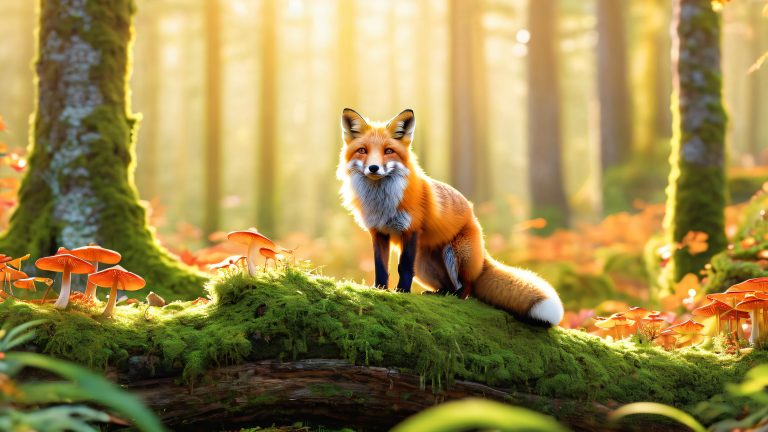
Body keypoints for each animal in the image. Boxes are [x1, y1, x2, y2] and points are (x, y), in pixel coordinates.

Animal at [337, 108, 564, 326]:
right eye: (363, 150)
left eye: (388, 151)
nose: (373, 168)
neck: (382, 203)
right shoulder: (379, 232)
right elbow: (381, 267)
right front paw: (380, 289)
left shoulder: (411, 229)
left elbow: (404, 268)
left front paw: (402, 292)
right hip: (423, 265)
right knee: (449, 285)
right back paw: (439, 293)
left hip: (455, 253)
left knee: (467, 287)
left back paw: (456, 297)